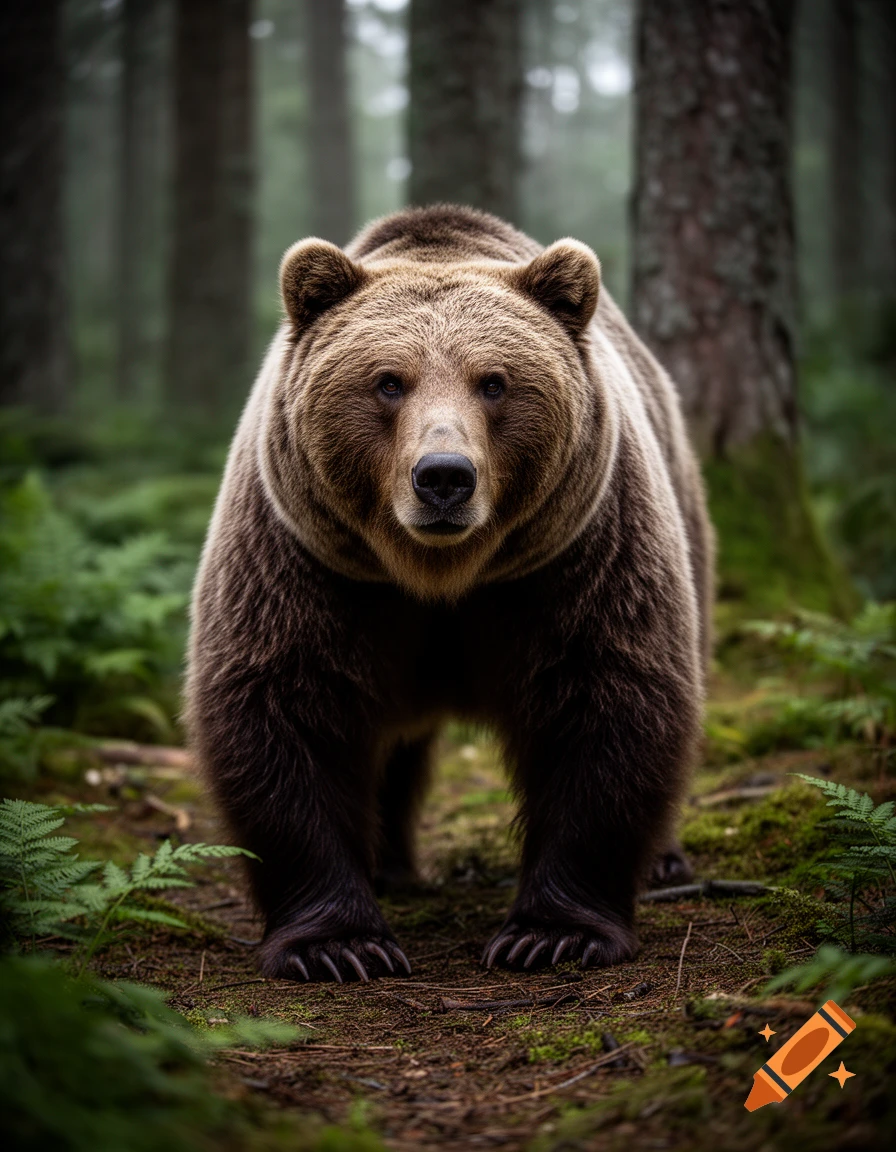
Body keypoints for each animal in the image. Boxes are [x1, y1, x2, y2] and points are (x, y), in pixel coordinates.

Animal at [186, 204, 713, 983]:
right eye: (388, 382)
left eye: (494, 382)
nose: (443, 476)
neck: (440, 577)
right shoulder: (306, 564)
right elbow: (281, 708)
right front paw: (338, 945)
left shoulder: (579, 558)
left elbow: (610, 699)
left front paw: (552, 934)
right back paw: (389, 867)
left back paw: (663, 861)